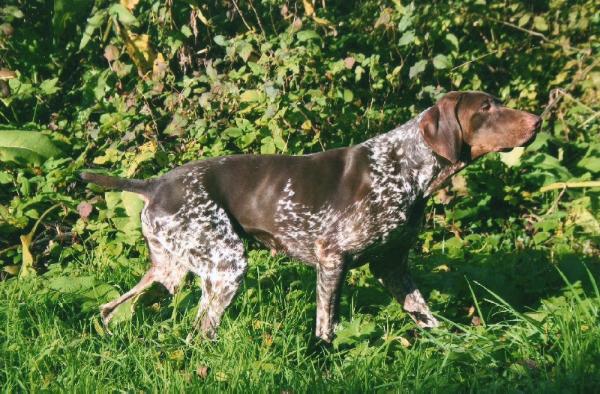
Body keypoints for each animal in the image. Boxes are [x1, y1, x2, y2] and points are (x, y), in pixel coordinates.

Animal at [82, 90, 540, 342]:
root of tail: (154, 184)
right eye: (487, 108)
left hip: (169, 272)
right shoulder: (332, 259)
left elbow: (426, 316)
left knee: (109, 308)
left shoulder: (393, 266)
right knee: (199, 332)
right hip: (226, 267)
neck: (405, 166)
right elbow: (326, 327)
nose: (538, 119)